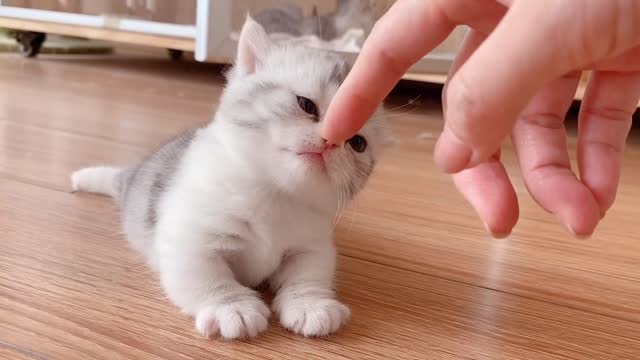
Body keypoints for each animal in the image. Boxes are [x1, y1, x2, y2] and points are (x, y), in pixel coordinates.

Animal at [71, 15, 390, 338]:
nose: (331, 142)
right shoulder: (189, 238)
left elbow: (308, 274)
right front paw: (231, 307)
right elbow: (209, 277)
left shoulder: (312, 246)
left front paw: (310, 304)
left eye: (357, 143)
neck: (276, 194)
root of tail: (134, 175)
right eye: (306, 104)